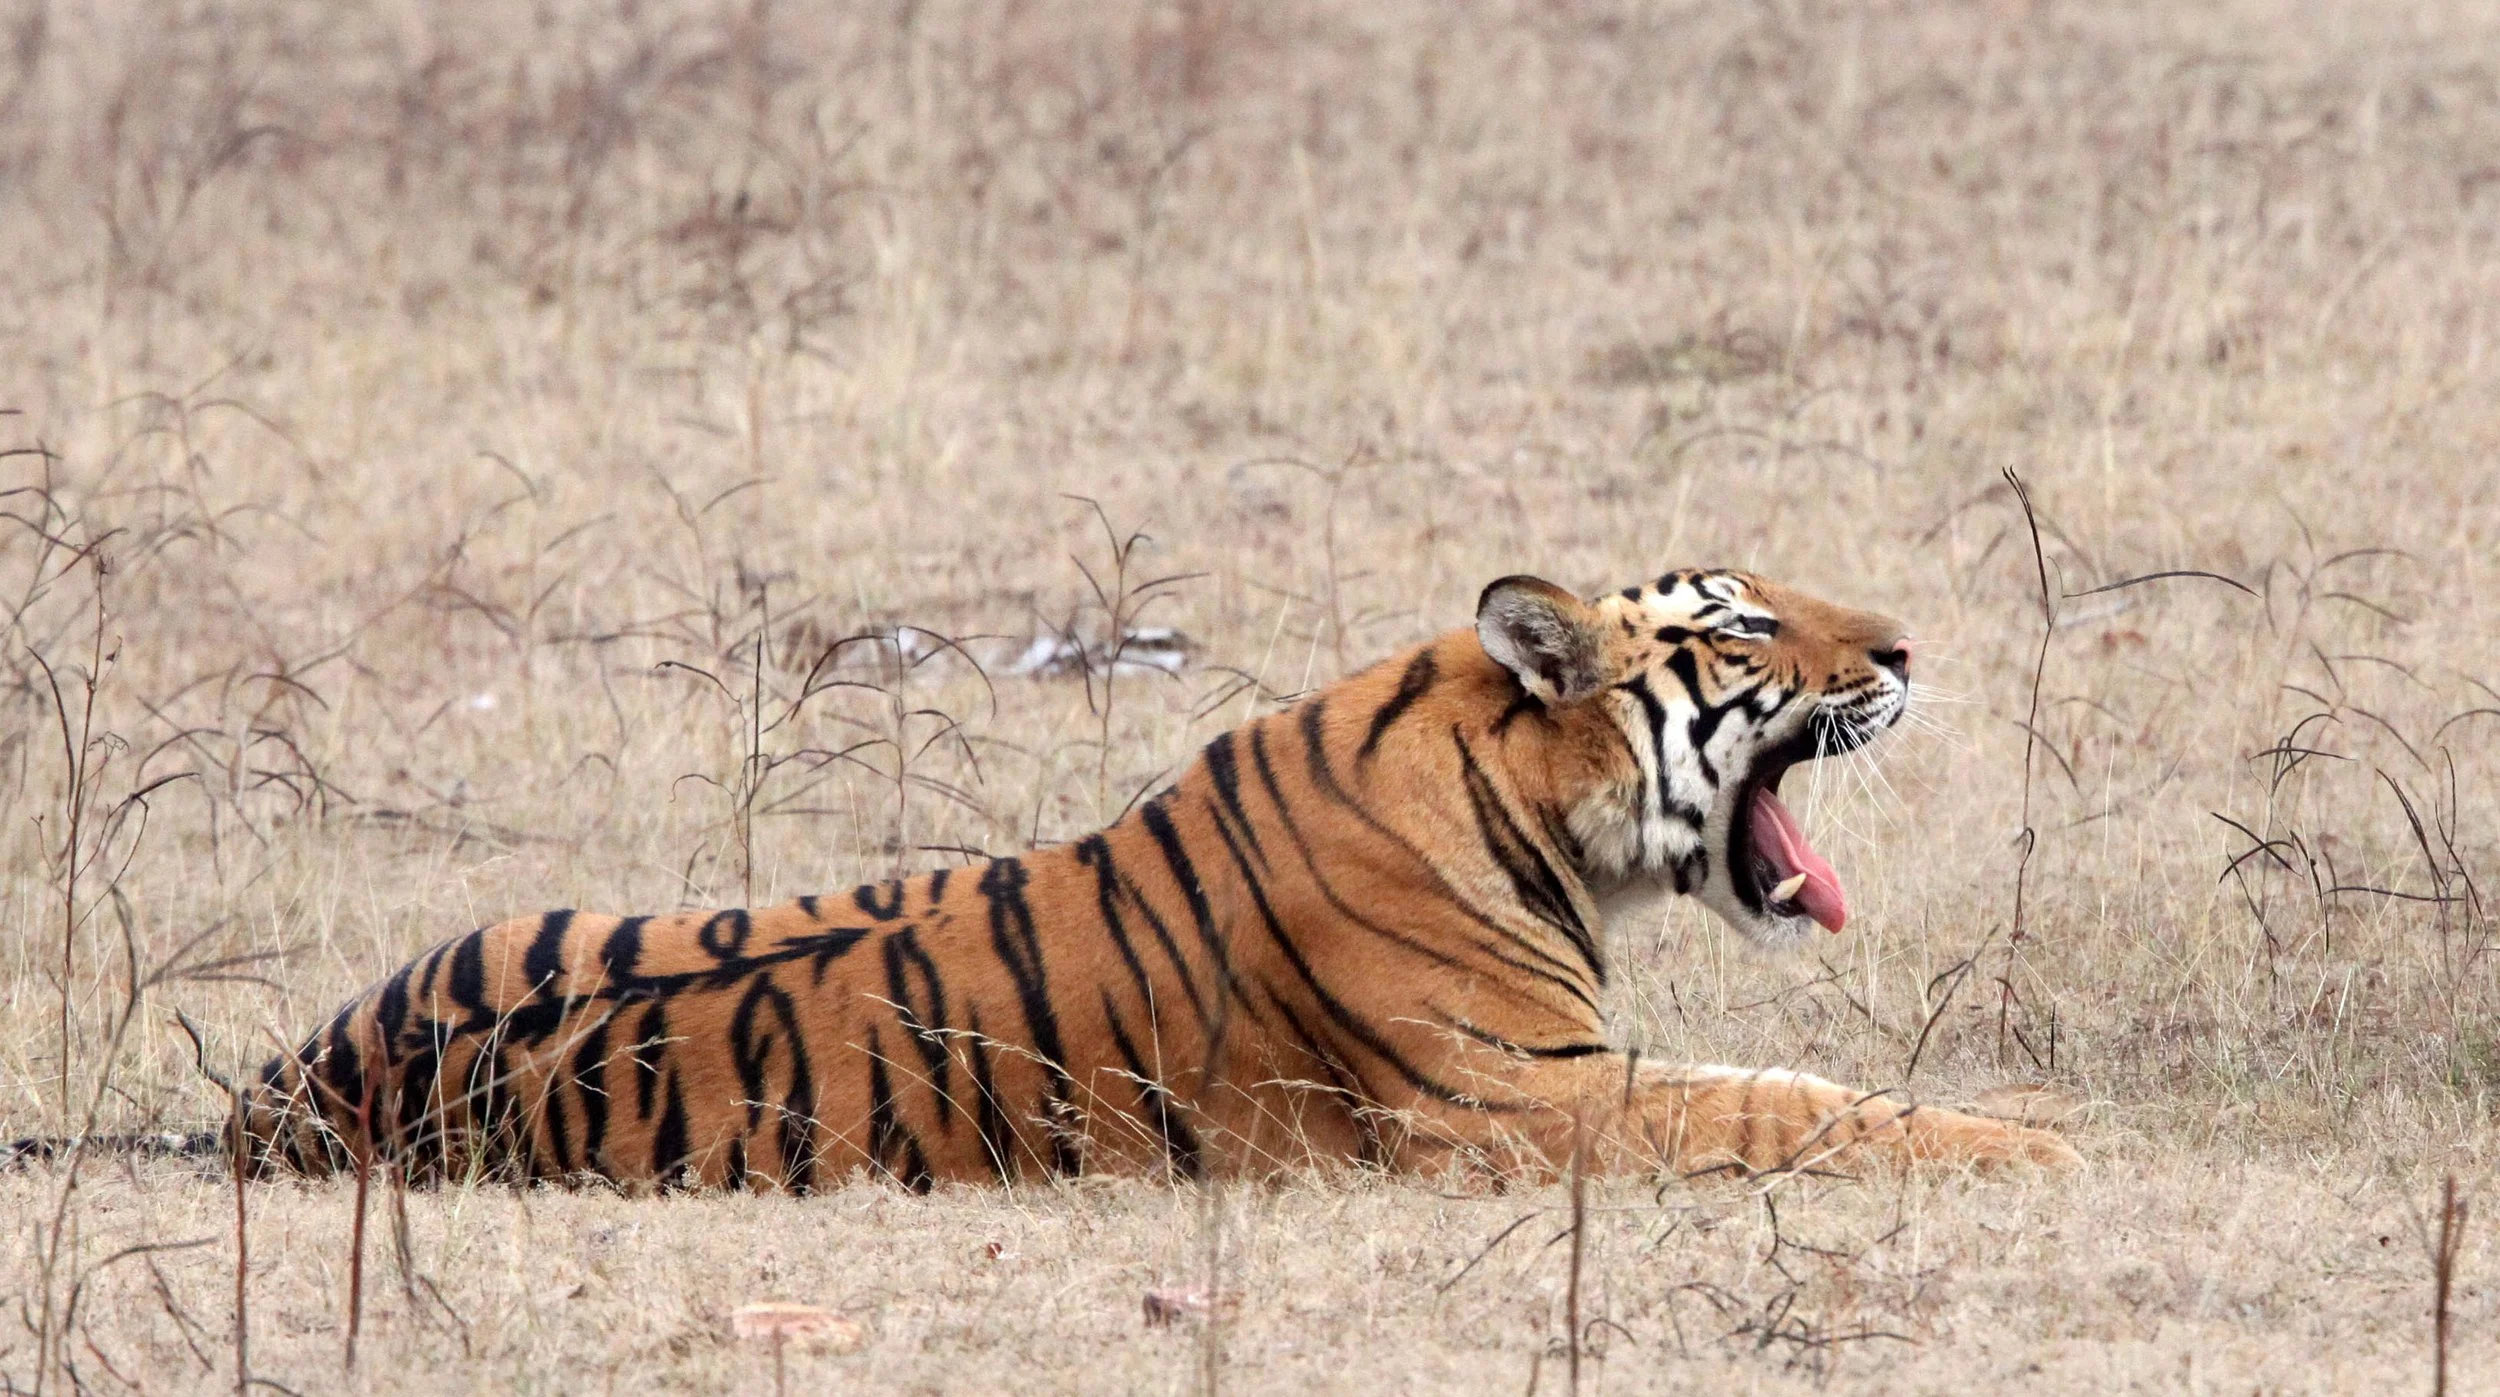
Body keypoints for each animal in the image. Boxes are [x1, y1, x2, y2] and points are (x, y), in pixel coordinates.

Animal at [30, 569, 2080, 1187]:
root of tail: (282, 1097)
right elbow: (1800, 1102)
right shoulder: (1525, 1103)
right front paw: (2046, 1145)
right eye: (1745, 626)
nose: (1910, 648)